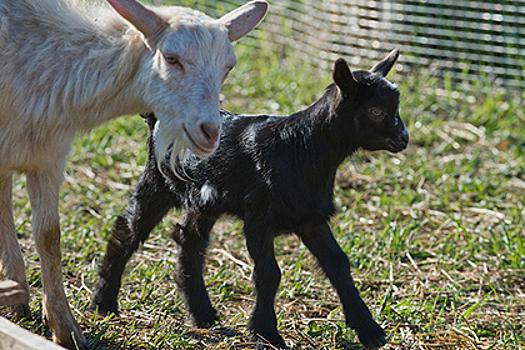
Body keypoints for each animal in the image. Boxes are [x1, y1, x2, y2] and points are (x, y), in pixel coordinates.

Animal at [0, 0, 266, 348]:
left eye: (228, 67)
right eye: (171, 57)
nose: (210, 132)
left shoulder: (48, 156)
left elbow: (49, 237)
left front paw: (63, 326)